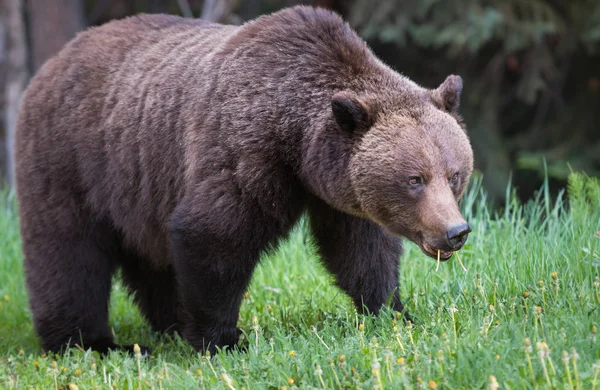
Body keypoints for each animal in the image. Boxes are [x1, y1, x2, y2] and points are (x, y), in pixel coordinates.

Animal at [15, 5, 474, 354]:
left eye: (454, 174)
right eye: (414, 179)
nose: (455, 231)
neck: (295, 141)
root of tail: (53, 62)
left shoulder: (336, 185)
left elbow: (360, 250)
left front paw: (394, 313)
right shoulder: (245, 150)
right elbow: (214, 235)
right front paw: (223, 340)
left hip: (140, 186)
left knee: (151, 259)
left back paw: (167, 325)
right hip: (71, 159)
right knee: (68, 253)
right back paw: (89, 342)